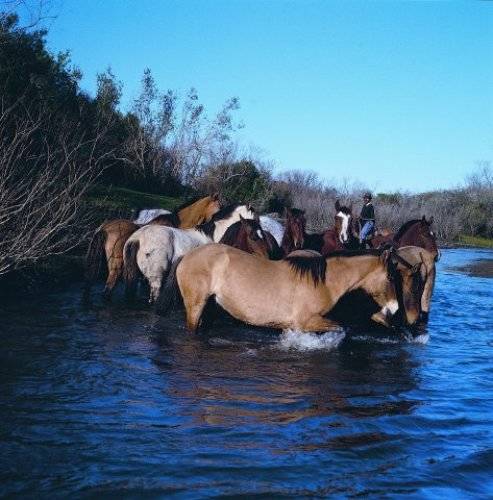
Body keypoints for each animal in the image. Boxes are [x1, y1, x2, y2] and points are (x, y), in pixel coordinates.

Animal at [170, 244, 422, 334]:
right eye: (390, 276)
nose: (394, 308)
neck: (324, 281)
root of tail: (187, 255)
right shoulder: (307, 321)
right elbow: (340, 328)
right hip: (196, 305)